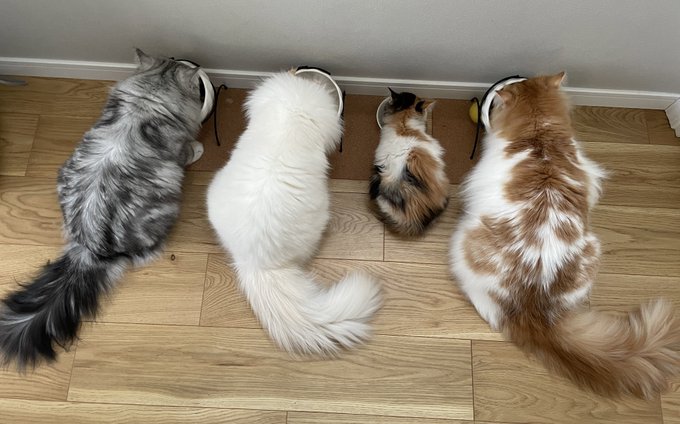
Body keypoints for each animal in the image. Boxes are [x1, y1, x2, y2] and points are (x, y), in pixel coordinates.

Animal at [0, 49, 205, 370]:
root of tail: (91, 247)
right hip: (169, 204)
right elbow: (189, 149)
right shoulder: (178, 148)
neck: (147, 98)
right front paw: (198, 148)